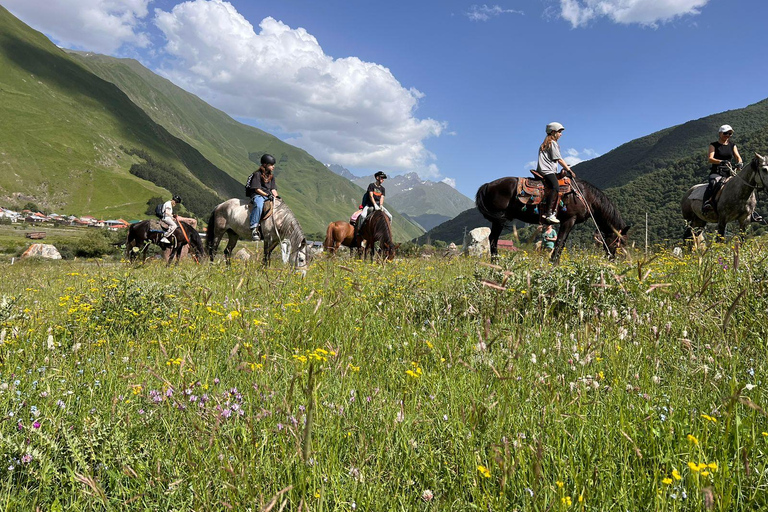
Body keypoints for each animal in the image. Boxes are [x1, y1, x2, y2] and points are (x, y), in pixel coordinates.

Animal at [474, 177, 632, 264]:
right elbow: (560, 243)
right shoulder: (569, 220)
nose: (612, 259)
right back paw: (496, 262)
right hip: (499, 220)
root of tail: (488, 184)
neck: (585, 196)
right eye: (618, 242)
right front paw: (553, 264)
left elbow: (561, 244)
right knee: (493, 239)